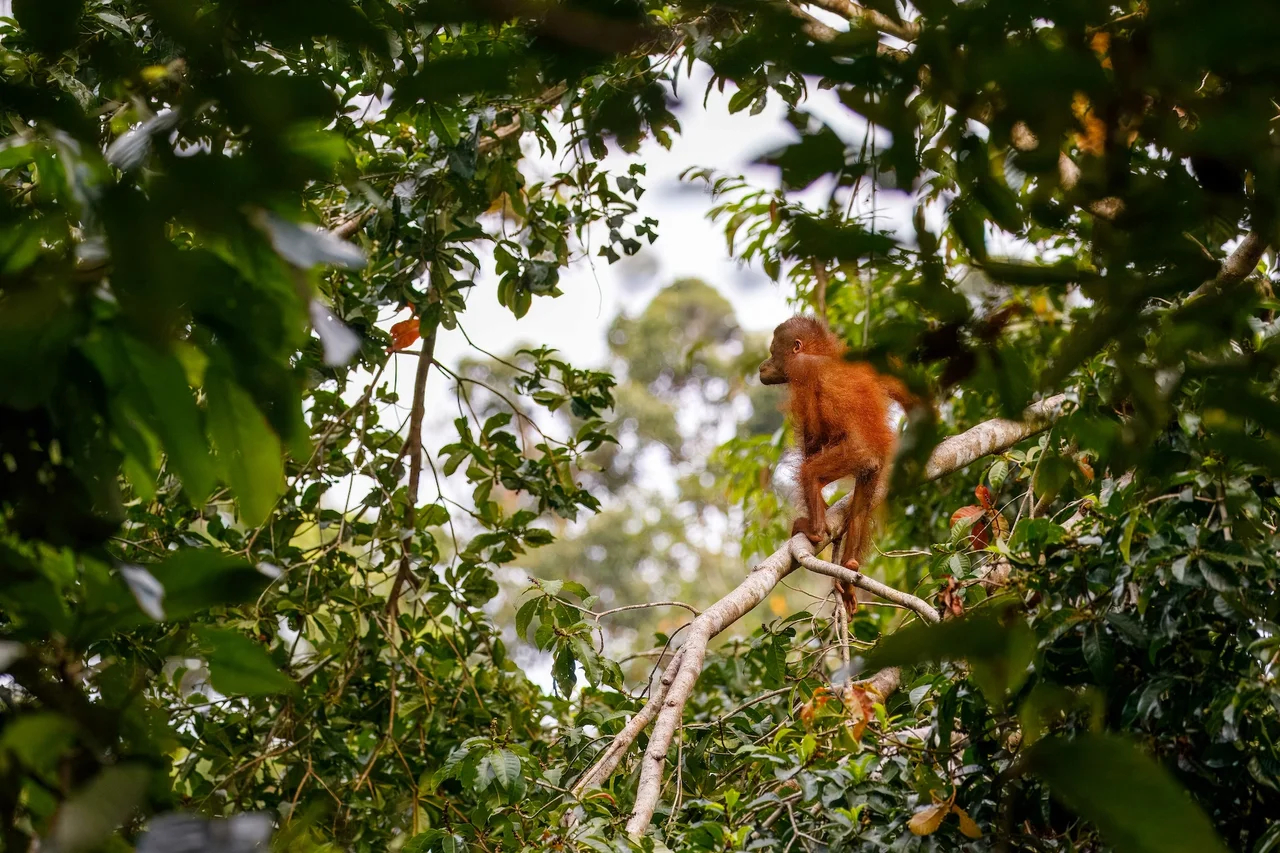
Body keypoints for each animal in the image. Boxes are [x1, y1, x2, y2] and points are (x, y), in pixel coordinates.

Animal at [759, 316, 916, 615]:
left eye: (773, 352)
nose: (763, 365)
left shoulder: (803, 370)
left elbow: (813, 437)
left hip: (855, 453)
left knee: (810, 472)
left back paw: (816, 531)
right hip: (871, 469)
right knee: (859, 512)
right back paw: (849, 570)